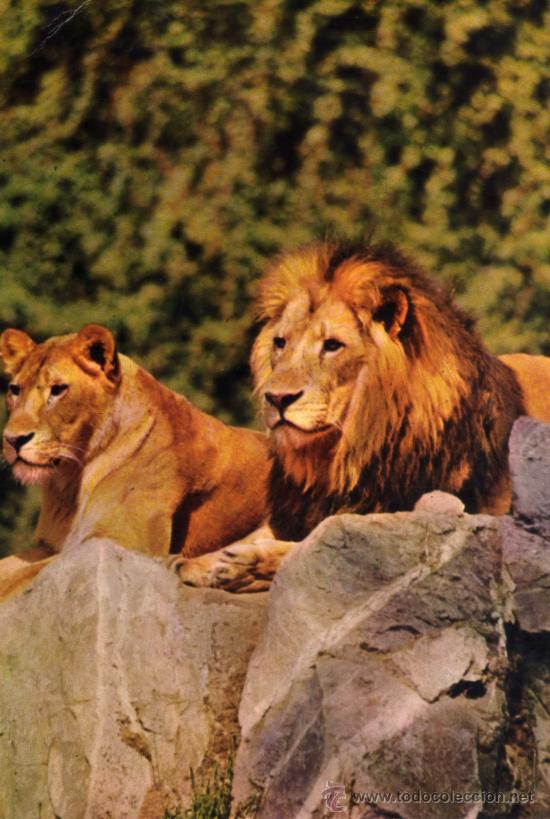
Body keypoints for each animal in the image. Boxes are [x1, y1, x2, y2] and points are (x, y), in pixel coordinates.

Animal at [0, 324, 272, 599]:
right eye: (15, 390)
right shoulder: (51, 545)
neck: (74, 476)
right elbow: (9, 567)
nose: (12, 440)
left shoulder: (121, 543)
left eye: (57, 389)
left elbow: (19, 576)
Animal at [176, 241, 550, 591]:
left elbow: (310, 547)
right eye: (280, 343)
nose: (277, 398)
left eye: (332, 345)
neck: (344, 456)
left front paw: (245, 566)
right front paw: (195, 563)